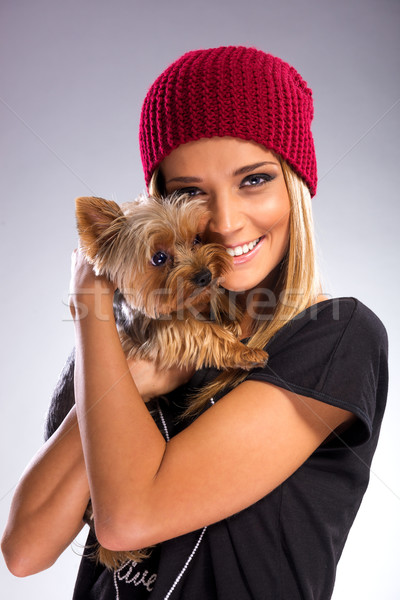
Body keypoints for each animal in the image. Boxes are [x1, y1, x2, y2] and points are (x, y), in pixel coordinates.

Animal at [44, 192, 268, 568]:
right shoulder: (159, 332)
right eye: (159, 258)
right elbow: (196, 329)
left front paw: (229, 314)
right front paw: (242, 350)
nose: (205, 275)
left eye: (197, 239)